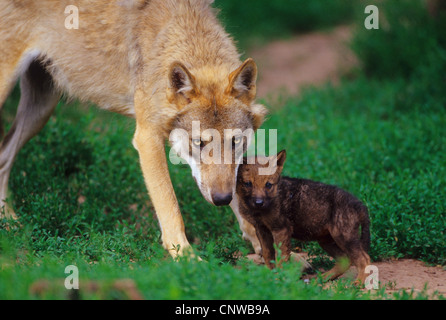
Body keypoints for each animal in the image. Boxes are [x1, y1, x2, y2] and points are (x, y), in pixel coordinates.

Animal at [0, 0, 264, 255]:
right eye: (198, 142)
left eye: (235, 141)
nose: (221, 199)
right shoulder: (147, 138)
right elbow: (170, 206)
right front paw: (187, 259)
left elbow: (237, 190)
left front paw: (259, 241)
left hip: (41, 111)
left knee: (4, 155)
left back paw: (10, 223)